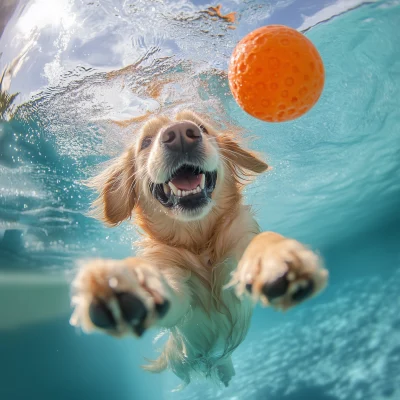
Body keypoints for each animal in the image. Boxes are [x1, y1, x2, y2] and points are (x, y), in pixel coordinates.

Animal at [71, 109, 328, 388]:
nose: (180, 134)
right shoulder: (177, 284)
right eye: (146, 141)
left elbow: (263, 240)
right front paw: (129, 281)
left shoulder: (239, 242)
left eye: (202, 127)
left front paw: (274, 260)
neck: (199, 243)